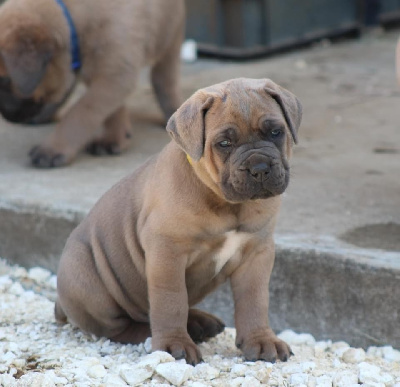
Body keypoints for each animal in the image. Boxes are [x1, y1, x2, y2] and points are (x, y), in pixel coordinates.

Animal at [0, 0, 184, 167]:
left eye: (4, 81)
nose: (7, 117)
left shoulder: (114, 75)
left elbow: (80, 113)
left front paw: (53, 148)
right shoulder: (108, 75)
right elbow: (110, 110)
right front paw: (114, 138)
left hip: (170, 36)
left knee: (164, 81)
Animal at [54, 77, 302, 366]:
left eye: (275, 132)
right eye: (224, 143)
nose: (259, 167)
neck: (227, 203)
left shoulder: (257, 252)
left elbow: (255, 300)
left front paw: (261, 341)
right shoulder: (167, 253)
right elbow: (170, 301)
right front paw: (174, 345)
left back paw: (199, 322)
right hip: (88, 283)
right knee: (121, 326)